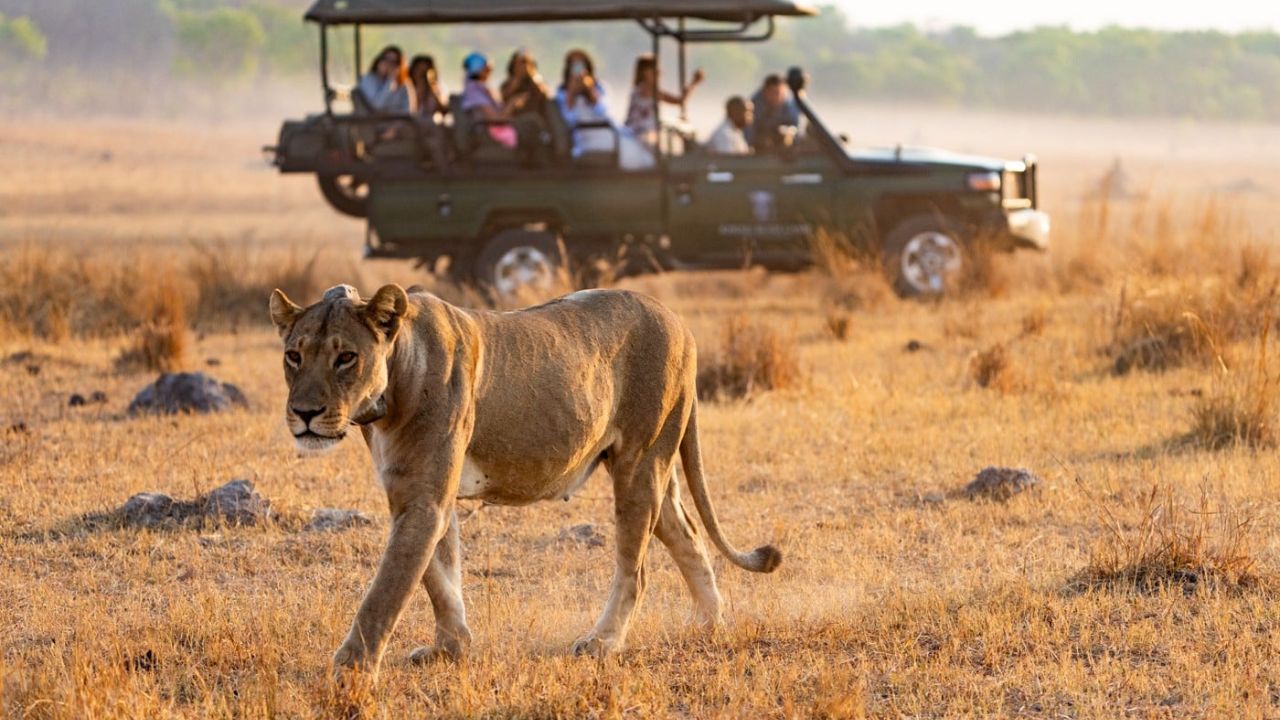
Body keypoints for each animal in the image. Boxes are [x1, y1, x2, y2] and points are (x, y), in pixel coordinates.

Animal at [268, 283, 781, 675]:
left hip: (640, 464)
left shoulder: (424, 500)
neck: (390, 388)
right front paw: (450, 649)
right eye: (293, 356)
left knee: (635, 570)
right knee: (688, 534)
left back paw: (603, 643)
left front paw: (351, 668)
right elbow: (439, 577)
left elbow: (386, 591)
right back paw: (709, 624)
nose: (304, 413)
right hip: (655, 467)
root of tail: (679, 321)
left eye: (346, 358)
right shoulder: (414, 493)